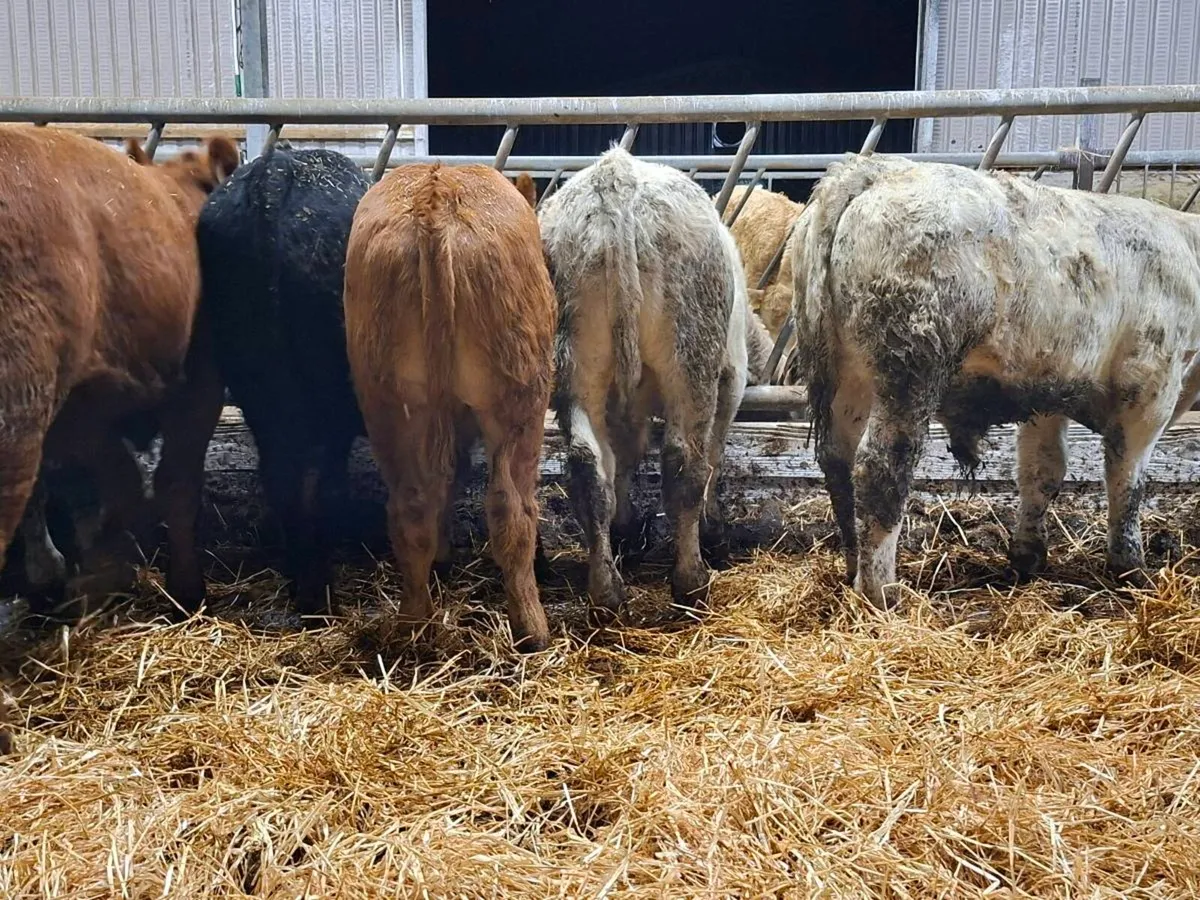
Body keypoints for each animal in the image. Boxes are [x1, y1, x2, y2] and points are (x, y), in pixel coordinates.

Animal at [197, 146, 371, 616]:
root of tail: (274, 176)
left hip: (255, 378)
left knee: (282, 477)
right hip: (328, 388)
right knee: (321, 483)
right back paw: (319, 594)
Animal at [343, 164, 557, 652]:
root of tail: (436, 193)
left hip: (389, 402)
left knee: (412, 506)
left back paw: (412, 624)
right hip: (520, 399)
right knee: (511, 509)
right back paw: (532, 629)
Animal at [537, 146, 763, 619]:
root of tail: (615, 178)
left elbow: (623, 457)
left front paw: (626, 532)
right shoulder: (731, 377)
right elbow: (714, 453)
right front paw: (714, 530)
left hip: (576, 365)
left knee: (589, 466)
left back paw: (606, 591)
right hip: (691, 360)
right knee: (684, 465)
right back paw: (691, 581)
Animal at [793, 152, 1200, 608]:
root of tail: (873, 170)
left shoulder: (1047, 394)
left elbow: (1043, 470)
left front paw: (1027, 557)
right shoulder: (1149, 387)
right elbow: (1127, 480)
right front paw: (1130, 566)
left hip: (845, 376)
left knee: (837, 460)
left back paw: (851, 566)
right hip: (908, 370)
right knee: (881, 467)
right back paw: (880, 590)